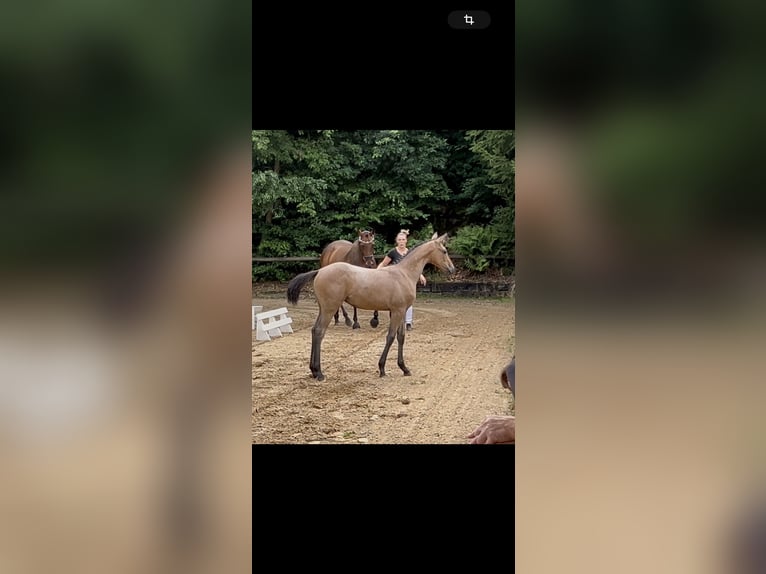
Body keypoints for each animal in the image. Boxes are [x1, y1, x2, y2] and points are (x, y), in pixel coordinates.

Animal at [287, 232, 455, 381]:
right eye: (444, 251)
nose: (452, 269)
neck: (403, 273)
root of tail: (320, 271)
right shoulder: (397, 312)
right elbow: (390, 337)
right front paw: (382, 368)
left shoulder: (401, 311)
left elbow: (401, 337)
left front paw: (404, 368)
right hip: (329, 309)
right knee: (320, 332)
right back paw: (320, 373)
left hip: (323, 309)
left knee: (314, 330)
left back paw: (313, 371)